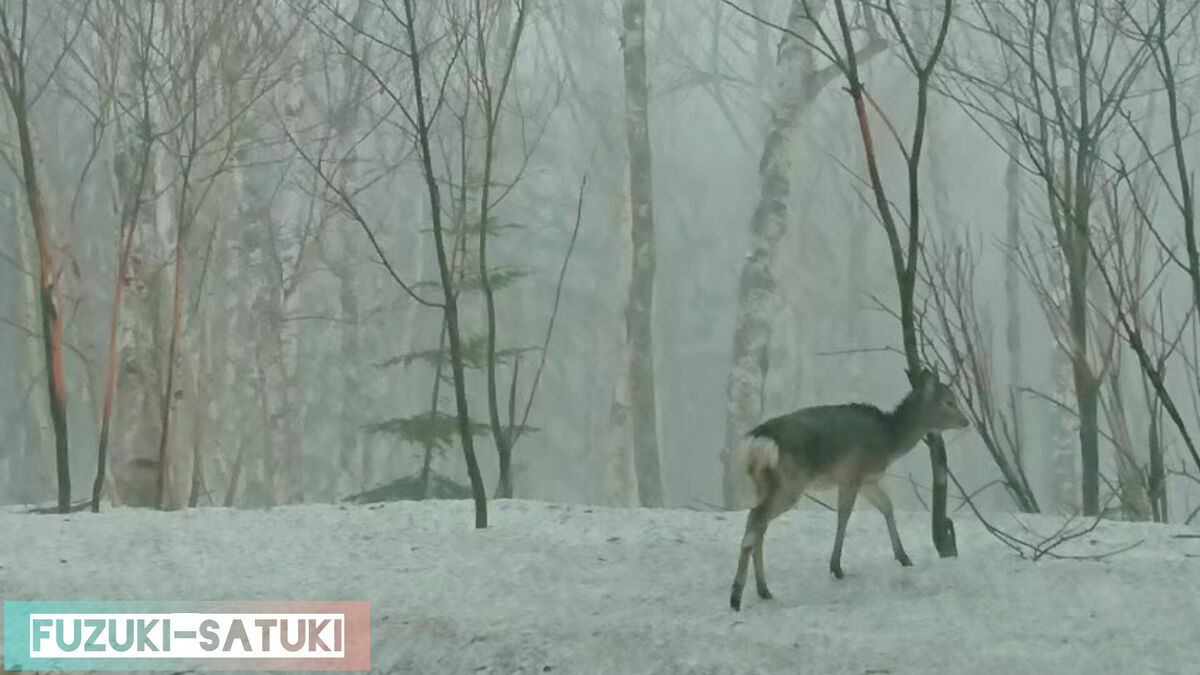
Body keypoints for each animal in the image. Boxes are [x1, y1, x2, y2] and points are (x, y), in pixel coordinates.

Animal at [724, 367, 969, 610]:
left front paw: (903, 557)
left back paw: (763, 590)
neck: (889, 440)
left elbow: (887, 506)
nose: (965, 421)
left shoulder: (868, 481)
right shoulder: (852, 475)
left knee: (758, 524)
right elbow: (844, 515)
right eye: (949, 401)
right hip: (790, 482)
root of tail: (756, 443)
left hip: (764, 484)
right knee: (755, 520)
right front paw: (836, 567)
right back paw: (736, 596)